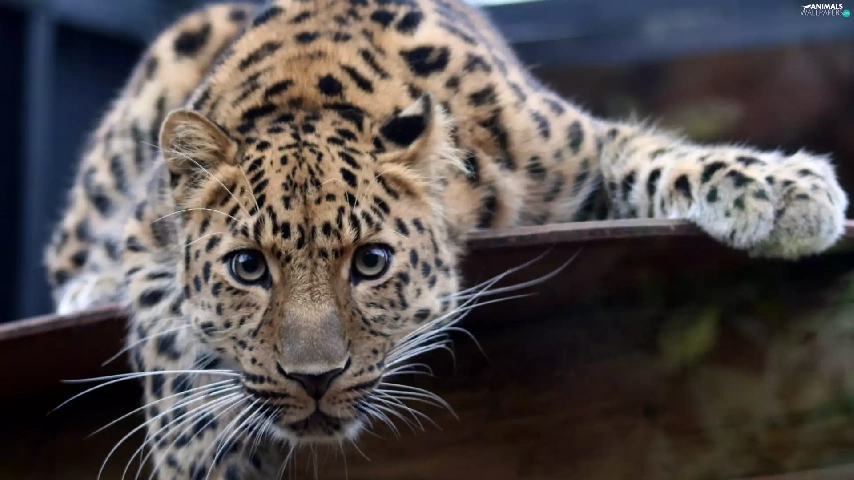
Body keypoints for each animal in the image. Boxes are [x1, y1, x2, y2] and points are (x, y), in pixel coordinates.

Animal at [43, 0, 848, 478]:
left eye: (371, 262)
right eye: (248, 267)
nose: (314, 379)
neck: (309, 92)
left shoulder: (578, 151)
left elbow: (659, 158)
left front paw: (786, 191)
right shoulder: (147, 236)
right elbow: (168, 337)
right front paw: (196, 453)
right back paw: (87, 285)